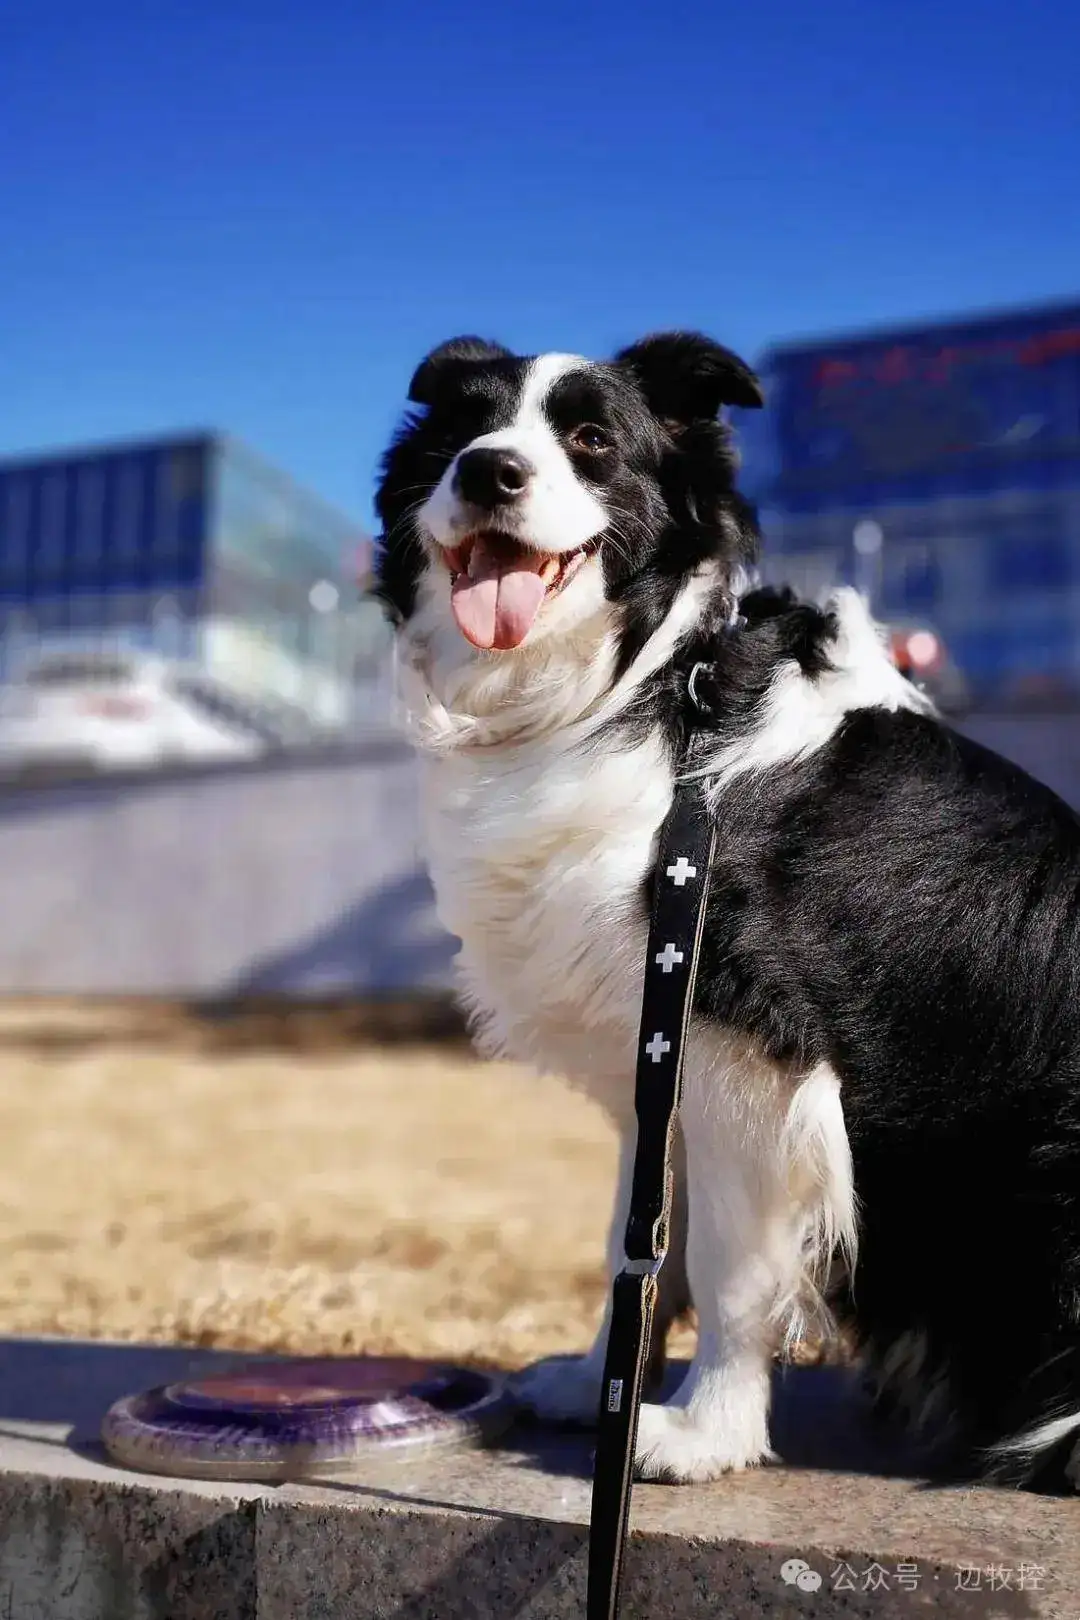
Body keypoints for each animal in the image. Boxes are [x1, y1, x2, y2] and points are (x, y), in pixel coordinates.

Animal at [374, 332, 1080, 1490]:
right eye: (462, 429)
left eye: (591, 439)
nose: (488, 472)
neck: (656, 690)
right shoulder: (658, 1048)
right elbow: (638, 1237)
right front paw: (601, 1385)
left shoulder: (751, 1045)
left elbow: (731, 1262)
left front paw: (703, 1434)